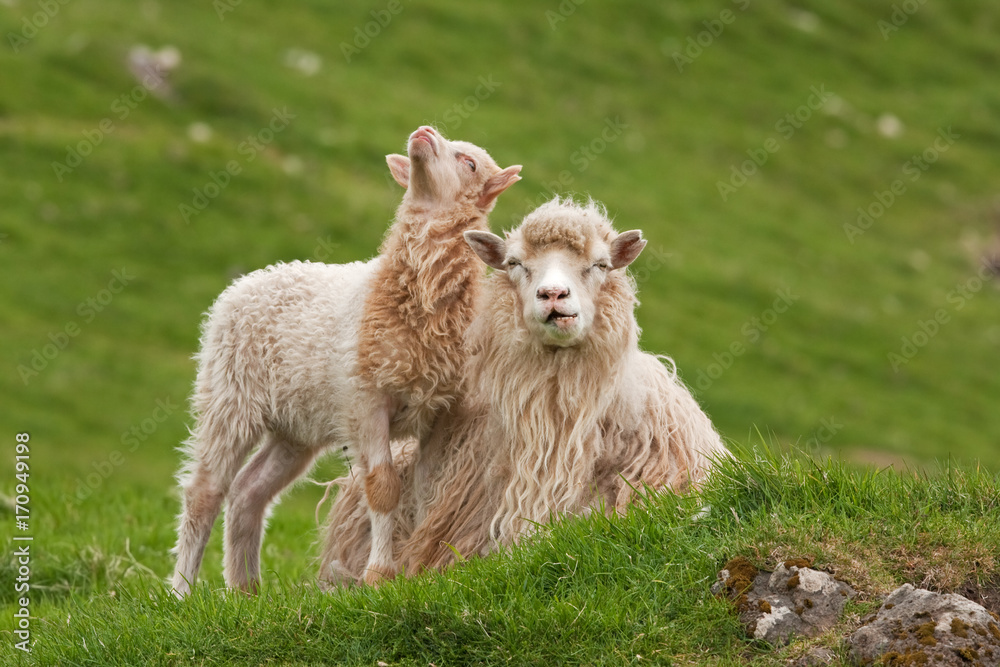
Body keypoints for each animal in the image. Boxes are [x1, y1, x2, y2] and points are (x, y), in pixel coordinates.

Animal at [170, 126, 521, 595]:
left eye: (469, 163)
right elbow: (383, 487)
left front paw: (413, 564)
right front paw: (378, 575)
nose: (423, 132)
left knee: (248, 491)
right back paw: (181, 591)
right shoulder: (365, 401)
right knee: (204, 492)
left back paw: (245, 591)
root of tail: (251, 279)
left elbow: (427, 486)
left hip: (295, 425)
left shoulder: (443, 410)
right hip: (229, 396)